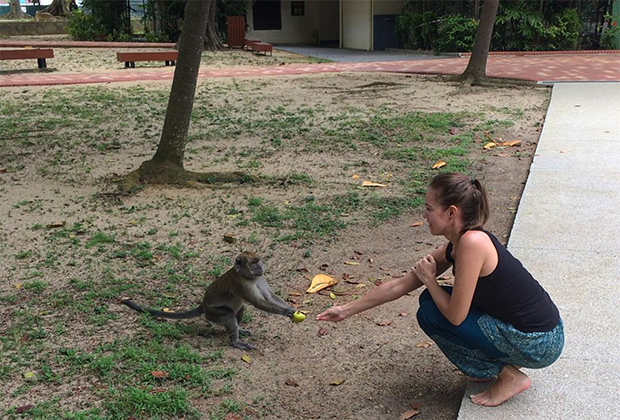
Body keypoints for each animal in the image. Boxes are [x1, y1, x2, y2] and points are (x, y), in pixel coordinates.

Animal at [123, 251, 296, 350]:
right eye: (253, 263)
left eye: (258, 261)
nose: (260, 267)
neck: (247, 276)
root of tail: (203, 304)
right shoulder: (242, 284)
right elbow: (258, 302)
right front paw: (286, 311)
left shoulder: (260, 278)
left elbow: (269, 296)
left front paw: (291, 309)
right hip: (213, 313)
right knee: (229, 315)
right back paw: (235, 342)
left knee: (239, 309)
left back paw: (239, 330)